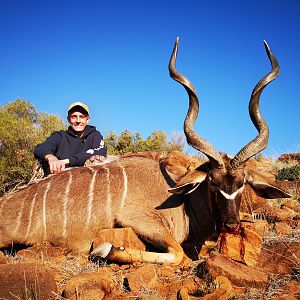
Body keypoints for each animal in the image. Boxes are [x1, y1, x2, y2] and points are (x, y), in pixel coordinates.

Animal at [0, 38, 290, 264]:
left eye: (242, 184)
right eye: (212, 182)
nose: (231, 224)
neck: (183, 200)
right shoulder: (135, 218)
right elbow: (177, 254)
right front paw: (106, 250)